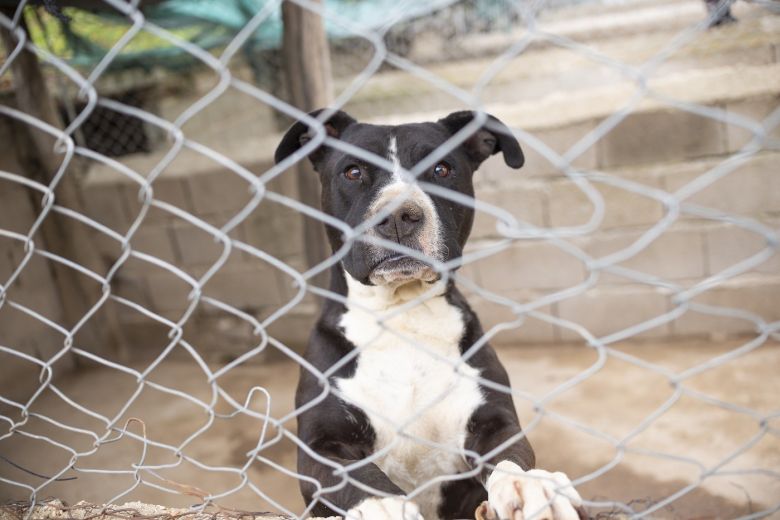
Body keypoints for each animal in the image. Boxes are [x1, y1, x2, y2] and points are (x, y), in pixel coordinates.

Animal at [274, 109, 584, 520]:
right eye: (353, 172)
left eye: (441, 169)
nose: (398, 216)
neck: (402, 315)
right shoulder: (320, 443)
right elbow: (351, 475)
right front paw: (382, 506)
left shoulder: (491, 422)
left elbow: (512, 455)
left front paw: (533, 486)